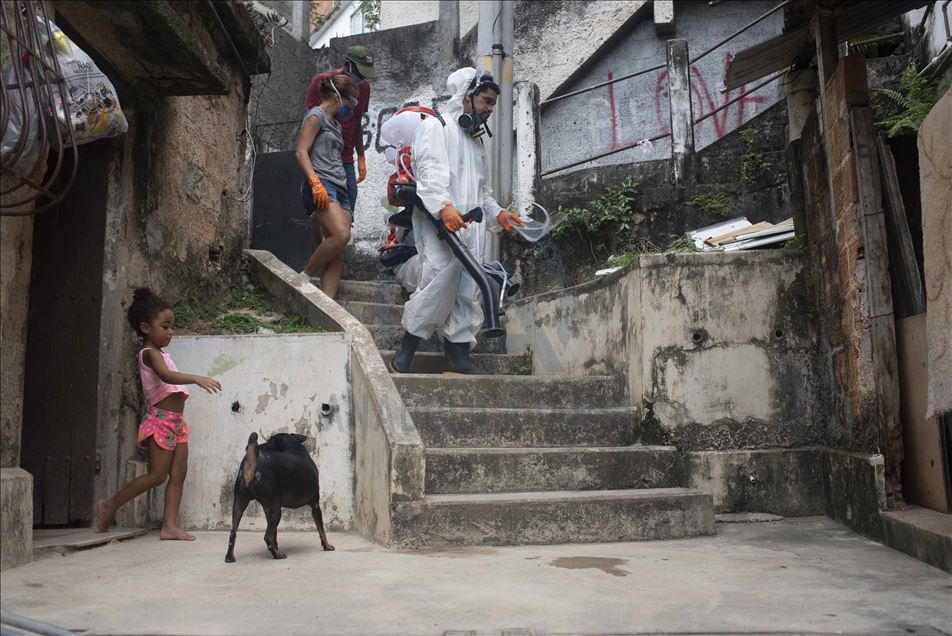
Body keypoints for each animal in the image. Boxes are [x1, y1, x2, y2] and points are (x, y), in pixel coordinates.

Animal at [226, 432, 336, 560]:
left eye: (269, 441)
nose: (261, 446)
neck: (295, 448)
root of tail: (254, 457)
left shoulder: (267, 509)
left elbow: (274, 532)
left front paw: (276, 544)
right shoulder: (315, 506)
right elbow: (321, 530)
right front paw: (327, 546)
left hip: (239, 505)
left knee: (233, 533)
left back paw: (229, 557)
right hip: (276, 510)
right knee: (267, 536)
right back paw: (277, 555)